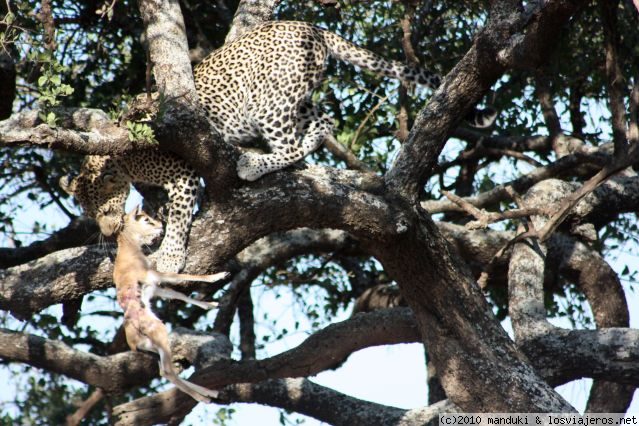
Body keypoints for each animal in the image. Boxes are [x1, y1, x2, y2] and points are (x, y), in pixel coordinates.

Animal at [62, 19, 498, 272]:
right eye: (89, 211)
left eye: (102, 205)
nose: (106, 228)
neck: (129, 164)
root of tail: (312, 26)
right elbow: (160, 212)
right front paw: (150, 231)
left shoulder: (183, 174)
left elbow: (181, 217)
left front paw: (170, 257)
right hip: (294, 96)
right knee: (325, 119)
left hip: (266, 101)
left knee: (288, 143)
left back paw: (256, 163)